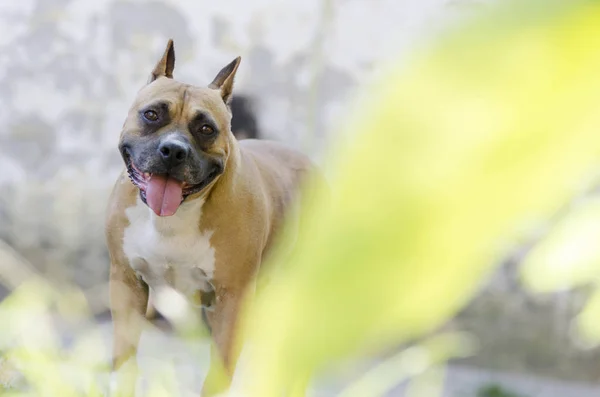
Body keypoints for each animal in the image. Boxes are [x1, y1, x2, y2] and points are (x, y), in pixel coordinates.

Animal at [105, 39, 316, 392]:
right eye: (152, 114)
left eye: (205, 129)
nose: (173, 150)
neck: (175, 216)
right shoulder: (126, 283)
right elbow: (125, 363)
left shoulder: (232, 301)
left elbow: (217, 377)